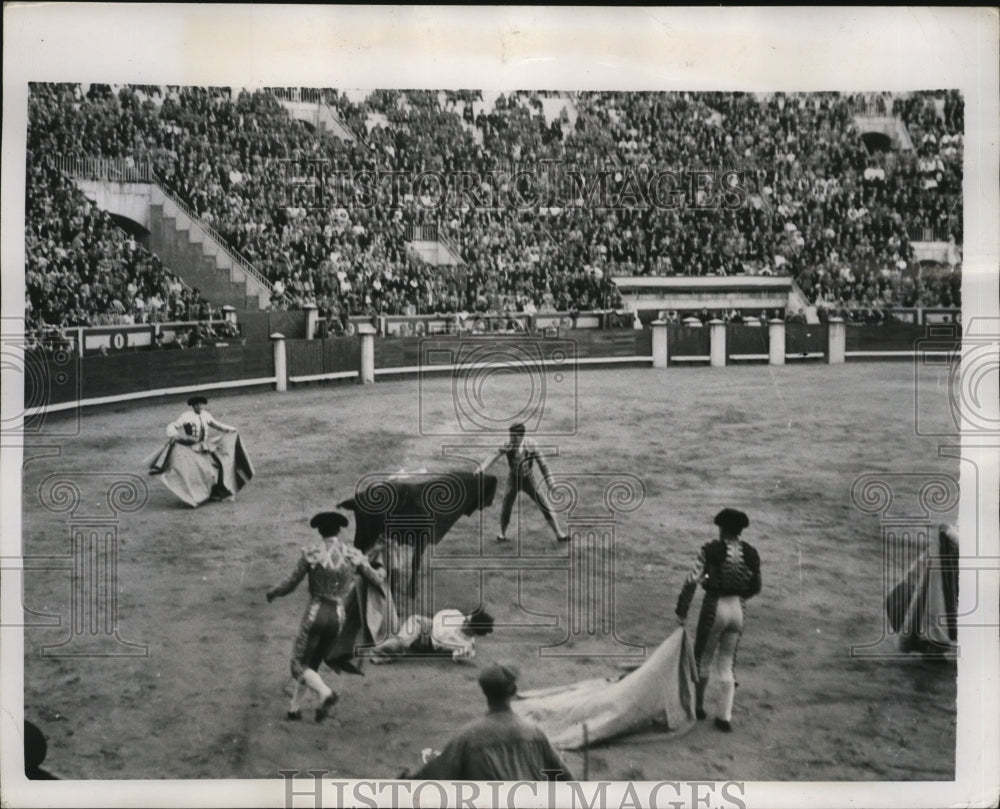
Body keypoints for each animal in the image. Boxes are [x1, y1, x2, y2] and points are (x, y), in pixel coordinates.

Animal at [340, 468, 500, 600]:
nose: (490, 503)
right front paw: (412, 592)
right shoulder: (421, 541)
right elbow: (415, 564)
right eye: (490, 493)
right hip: (364, 535)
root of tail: (358, 496)